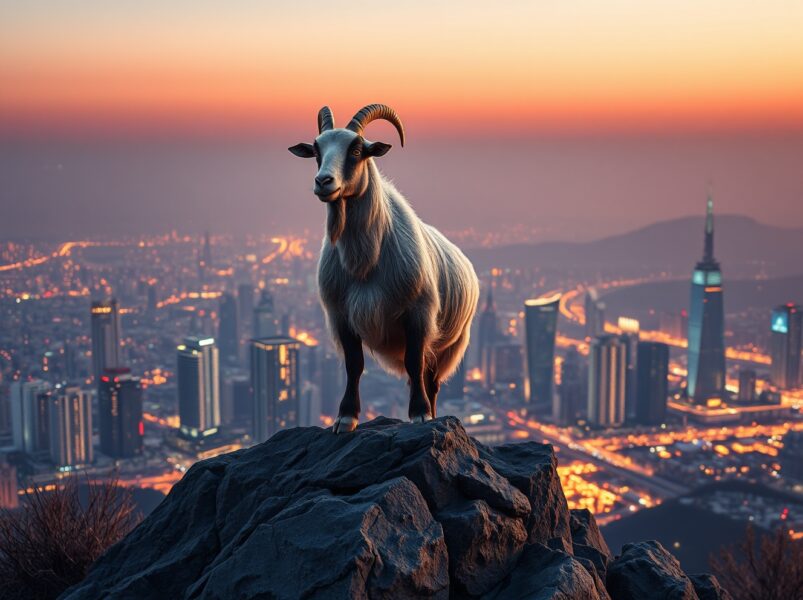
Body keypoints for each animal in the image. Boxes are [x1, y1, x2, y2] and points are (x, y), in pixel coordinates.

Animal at [289, 104, 479, 433]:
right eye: (316, 150)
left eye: (356, 150)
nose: (323, 182)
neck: (364, 262)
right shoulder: (341, 316)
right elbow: (354, 365)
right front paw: (346, 418)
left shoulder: (418, 313)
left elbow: (414, 363)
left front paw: (420, 414)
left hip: (452, 344)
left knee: (432, 379)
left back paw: (433, 411)